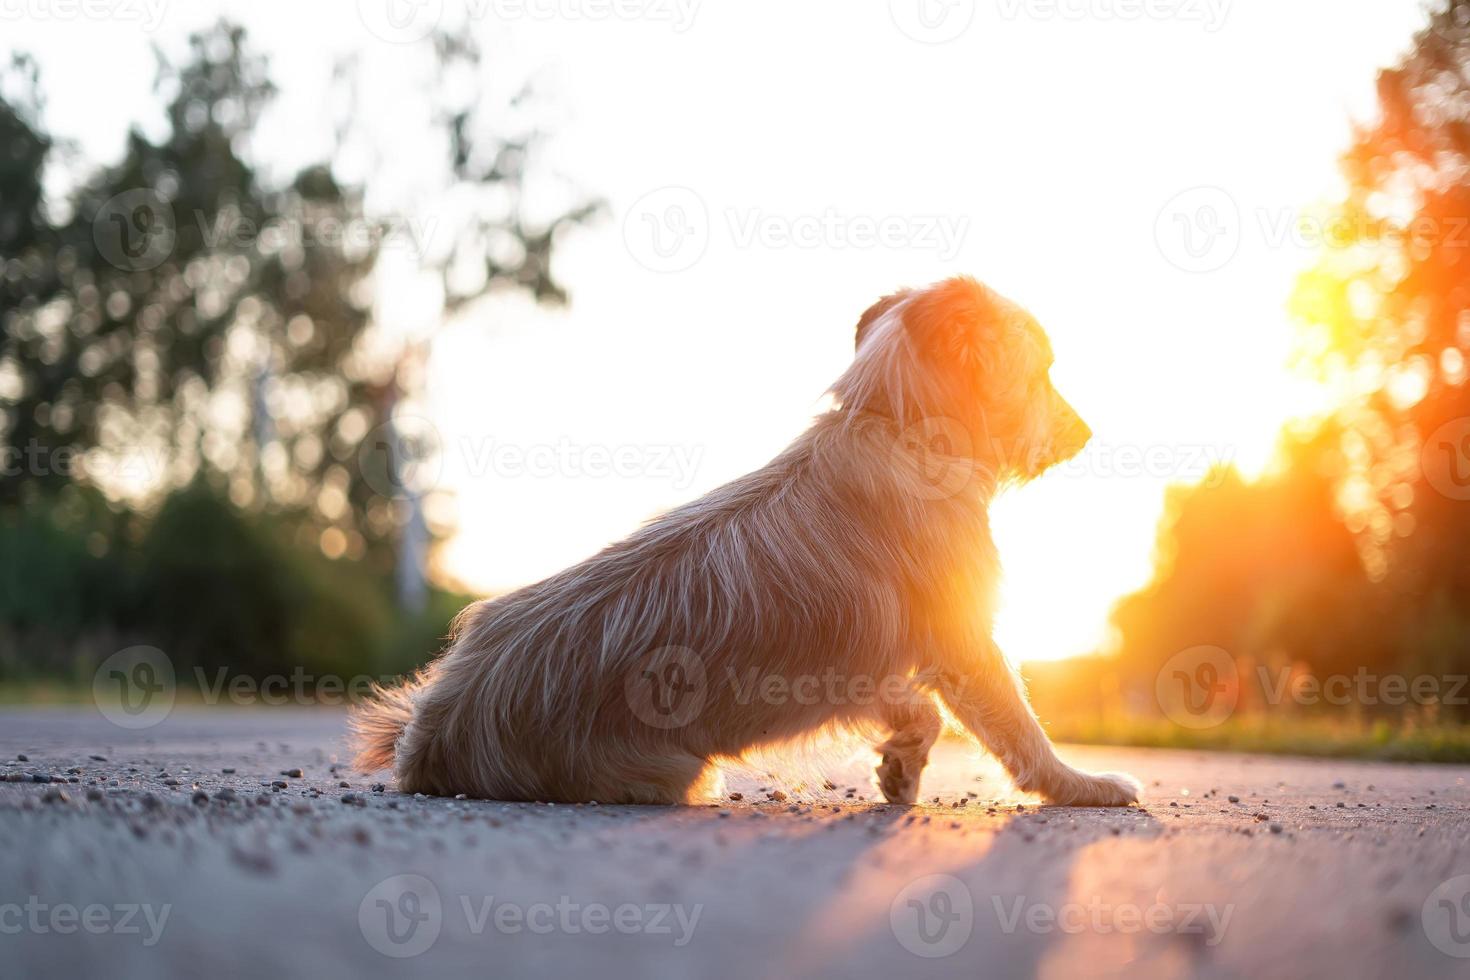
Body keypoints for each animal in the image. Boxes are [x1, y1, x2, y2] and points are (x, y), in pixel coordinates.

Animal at [349, 274, 1140, 805]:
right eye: (1040, 371)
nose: (1085, 434)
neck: (896, 425)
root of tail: (430, 736)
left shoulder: (857, 667)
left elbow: (908, 705)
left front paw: (901, 761)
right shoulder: (964, 642)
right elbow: (1015, 727)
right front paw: (1082, 784)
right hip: (670, 768)